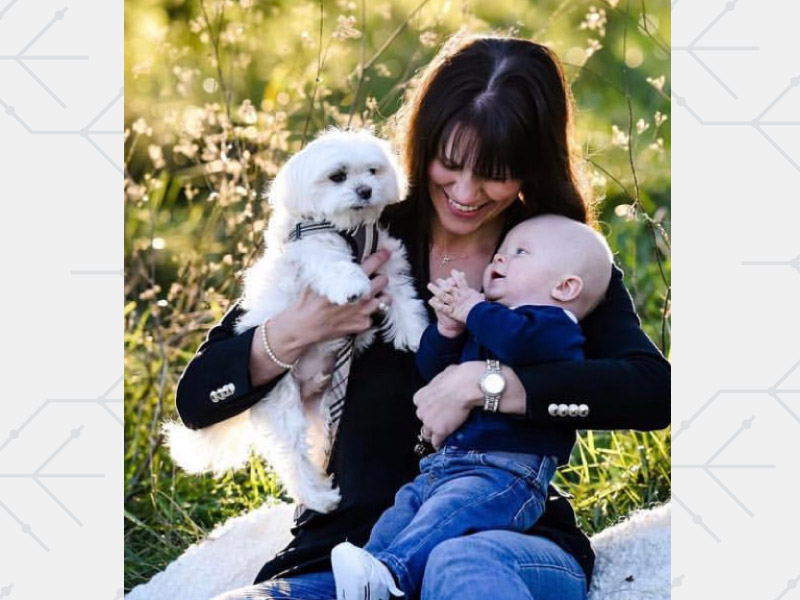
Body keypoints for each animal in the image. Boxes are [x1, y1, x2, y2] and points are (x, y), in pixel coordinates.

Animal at [164, 129, 432, 512]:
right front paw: (353, 286)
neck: (351, 231)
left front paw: (413, 331)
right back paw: (320, 497)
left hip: (322, 413)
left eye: (373, 171)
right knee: (293, 460)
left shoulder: (389, 260)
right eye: (338, 176)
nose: (365, 190)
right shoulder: (315, 249)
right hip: (283, 406)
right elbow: (335, 264)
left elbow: (403, 295)